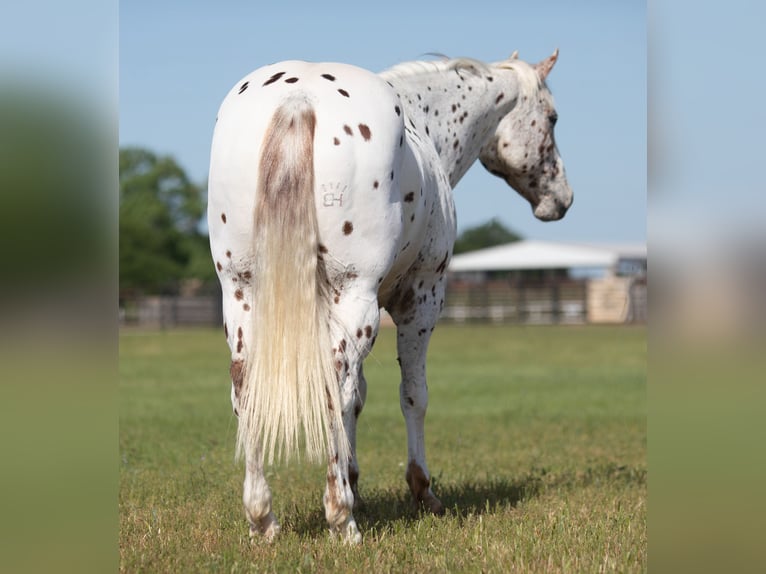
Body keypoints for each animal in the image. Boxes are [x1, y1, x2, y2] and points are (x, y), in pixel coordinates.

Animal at [207, 49, 572, 544]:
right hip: (355, 295)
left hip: (242, 293)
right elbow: (412, 394)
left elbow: (358, 398)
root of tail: (298, 98)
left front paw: (355, 481)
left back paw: (263, 519)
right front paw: (421, 491)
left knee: (246, 387)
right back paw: (342, 521)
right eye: (551, 118)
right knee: (332, 385)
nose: (562, 199)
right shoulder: (421, 298)